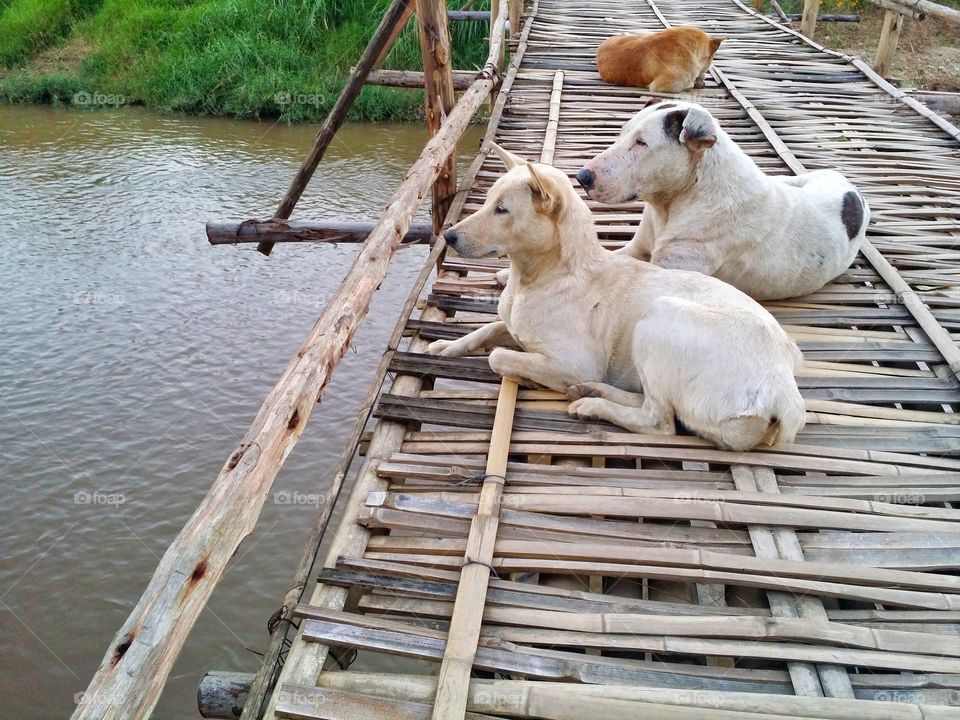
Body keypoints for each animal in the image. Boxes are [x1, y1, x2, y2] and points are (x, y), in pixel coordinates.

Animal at [432, 144, 808, 452]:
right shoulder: (513, 323)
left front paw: (524, 374)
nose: (448, 237)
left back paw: (593, 404)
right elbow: (487, 329)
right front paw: (446, 347)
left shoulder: (575, 362)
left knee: (660, 421)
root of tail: (784, 393)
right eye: (487, 202)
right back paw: (591, 391)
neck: (538, 277)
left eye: (502, 210)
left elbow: (498, 355)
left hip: (659, 318)